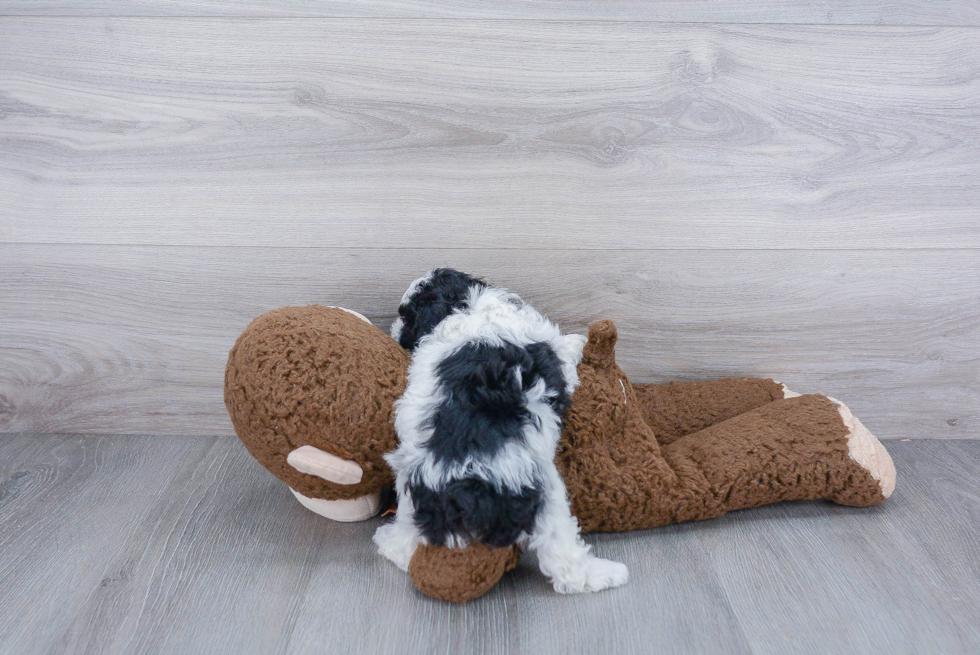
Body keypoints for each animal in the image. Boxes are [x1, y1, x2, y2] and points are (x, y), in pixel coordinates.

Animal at [376, 268, 628, 596]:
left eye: (405, 316)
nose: (393, 329)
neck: (465, 307)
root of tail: (465, 484)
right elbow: (566, 350)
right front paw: (579, 340)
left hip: (411, 494)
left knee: (407, 538)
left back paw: (391, 544)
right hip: (547, 498)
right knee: (564, 560)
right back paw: (606, 574)